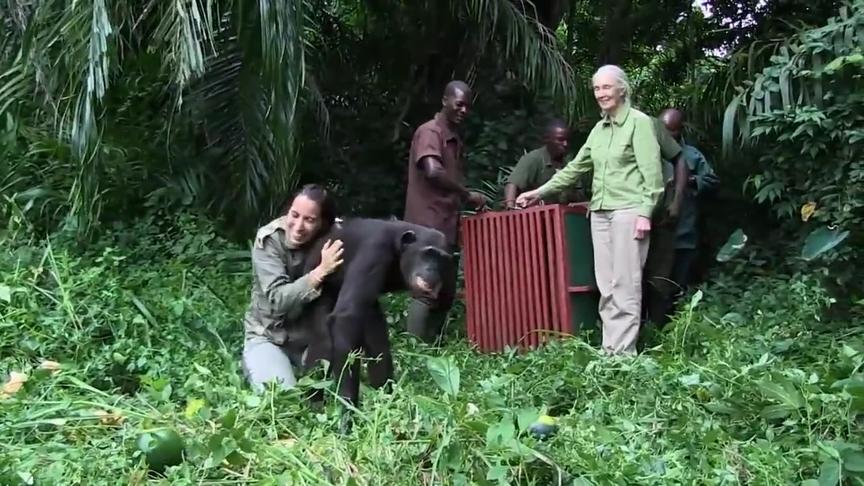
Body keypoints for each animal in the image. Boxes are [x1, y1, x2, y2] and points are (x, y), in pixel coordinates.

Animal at [296, 218, 456, 412]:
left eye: (440, 259)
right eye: (428, 254)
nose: (432, 269)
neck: (398, 248)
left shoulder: (450, 268)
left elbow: (441, 306)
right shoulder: (375, 251)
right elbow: (346, 317)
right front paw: (348, 406)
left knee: (377, 339)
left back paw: (386, 395)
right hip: (315, 289)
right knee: (323, 342)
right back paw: (313, 403)